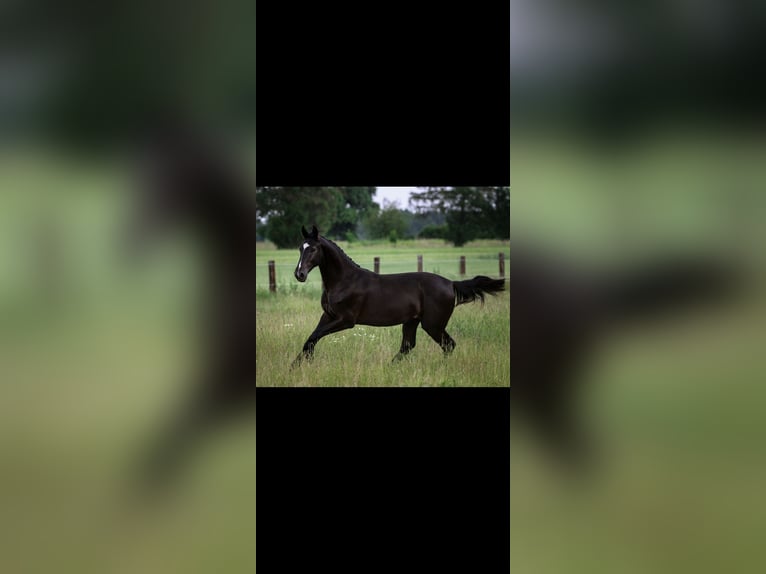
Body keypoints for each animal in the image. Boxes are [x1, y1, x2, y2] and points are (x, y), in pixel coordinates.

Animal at [291, 225, 506, 367]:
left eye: (313, 248)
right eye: (300, 248)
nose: (299, 274)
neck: (345, 281)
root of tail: (451, 283)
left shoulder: (346, 320)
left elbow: (315, 336)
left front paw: (304, 363)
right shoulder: (328, 316)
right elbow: (311, 338)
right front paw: (297, 364)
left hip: (433, 324)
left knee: (448, 345)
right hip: (411, 322)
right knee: (408, 346)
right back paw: (390, 367)